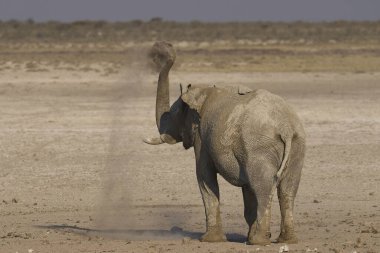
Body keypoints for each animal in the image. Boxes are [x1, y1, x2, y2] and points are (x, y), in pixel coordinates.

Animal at [143, 41, 306, 245]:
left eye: (172, 114)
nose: (164, 46)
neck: (204, 90)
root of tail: (285, 126)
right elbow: (247, 191)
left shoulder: (202, 137)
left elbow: (204, 177)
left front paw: (209, 240)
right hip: (297, 146)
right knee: (287, 191)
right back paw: (286, 240)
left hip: (260, 148)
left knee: (263, 188)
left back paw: (258, 241)